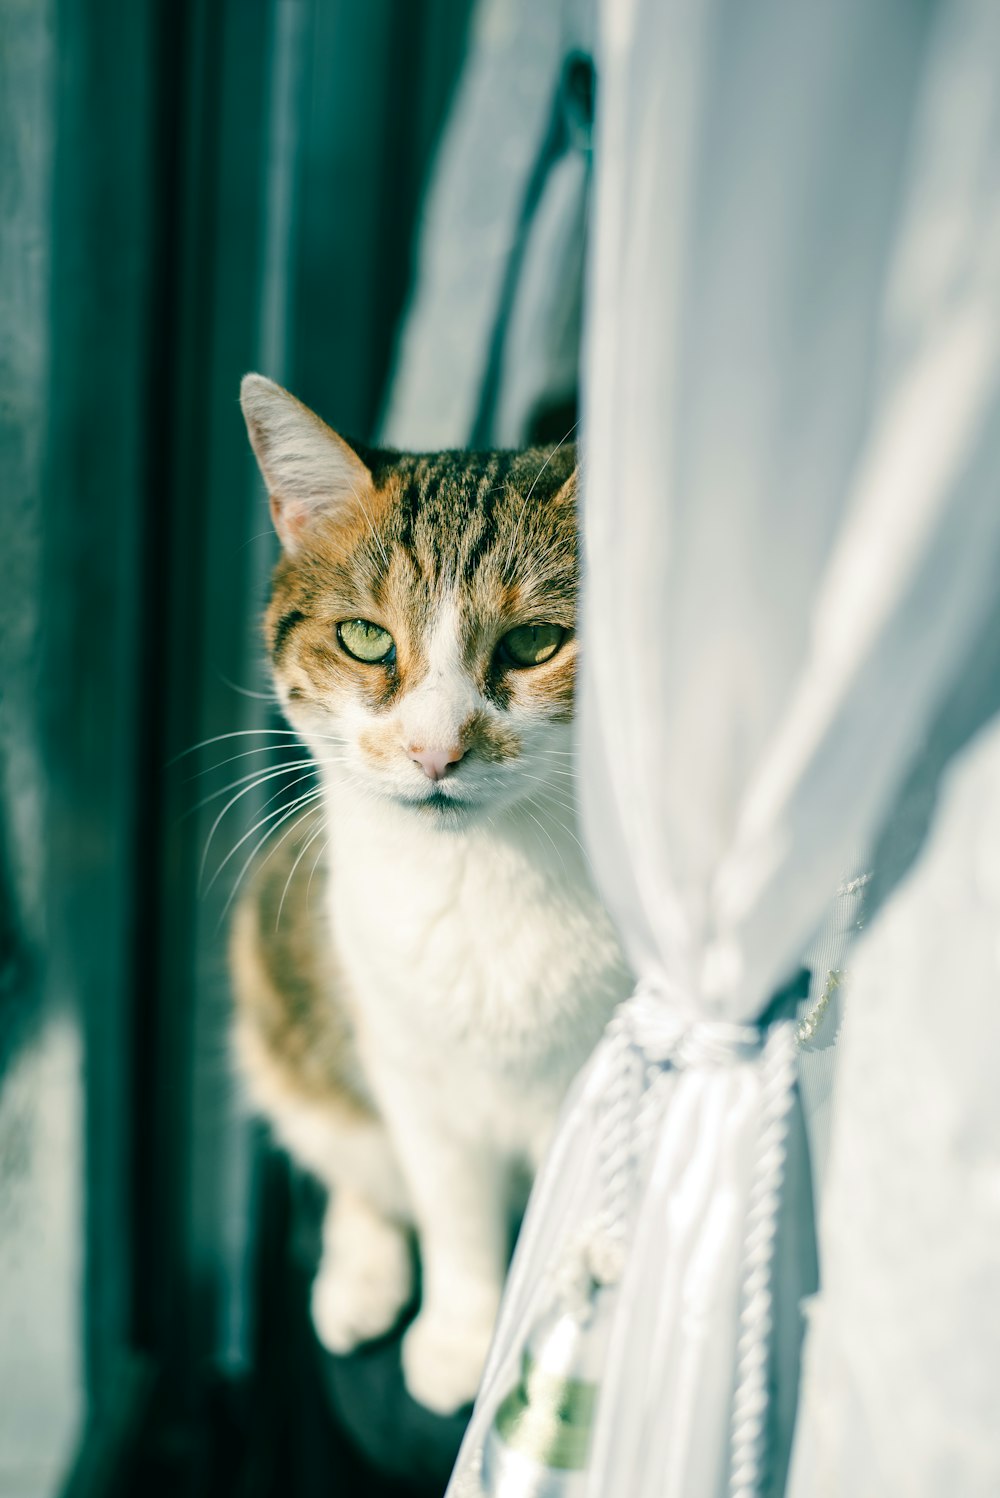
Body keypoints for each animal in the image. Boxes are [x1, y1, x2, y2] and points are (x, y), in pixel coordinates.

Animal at [230, 374, 628, 1414]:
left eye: (536, 641)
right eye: (367, 638)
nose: (434, 751)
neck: (484, 877)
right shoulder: (412, 1065)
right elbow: (450, 1211)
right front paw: (458, 1337)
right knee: (355, 1161)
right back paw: (358, 1279)